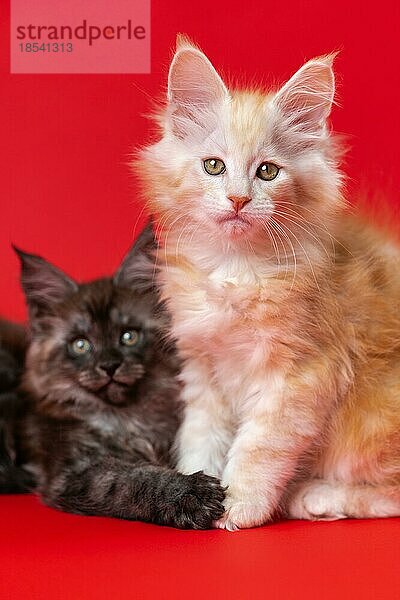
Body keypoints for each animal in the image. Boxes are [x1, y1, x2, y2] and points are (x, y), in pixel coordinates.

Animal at [0, 226, 225, 528]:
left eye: (128, 336)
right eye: (80, 345)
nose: (109, 366)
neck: (126, 416)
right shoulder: (77, 470)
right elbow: (134, 479)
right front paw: (189, 492)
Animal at [136, 36, 400, 528]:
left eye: (267, 172)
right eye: (214, 166)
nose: (239, 199)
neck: (235, 268)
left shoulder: (300, 374)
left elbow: (259, 448)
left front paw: (239, 505)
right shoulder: (204, 369)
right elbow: (202, 436)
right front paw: (192, 491)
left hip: (369, 423)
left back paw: (315, 496)